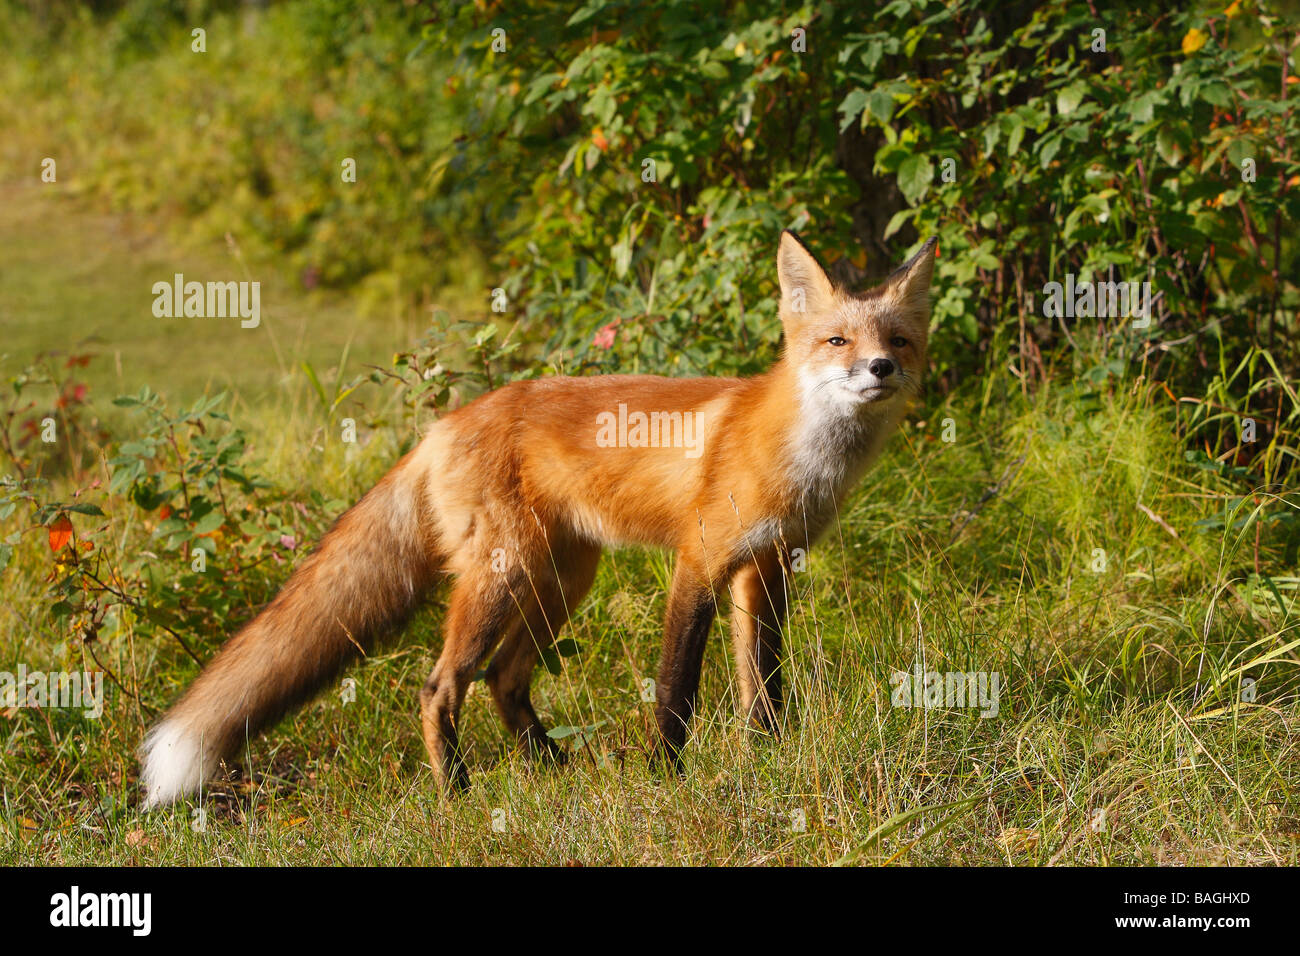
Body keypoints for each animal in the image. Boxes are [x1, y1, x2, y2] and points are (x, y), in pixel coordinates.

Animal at [139, 231, 935, 806]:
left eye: (897, 340)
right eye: (838, 341)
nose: (879, 370)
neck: (796, 454)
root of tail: (442, 425)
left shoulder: (766, 567)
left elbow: (763, 686)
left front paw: (767, 760)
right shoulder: (699, 559)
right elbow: (676, 688)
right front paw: (666, 777)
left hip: (561, 581)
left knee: (504, 679)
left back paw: (555, 770)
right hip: (504, 577)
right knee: (440, 686)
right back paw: (458, 795)